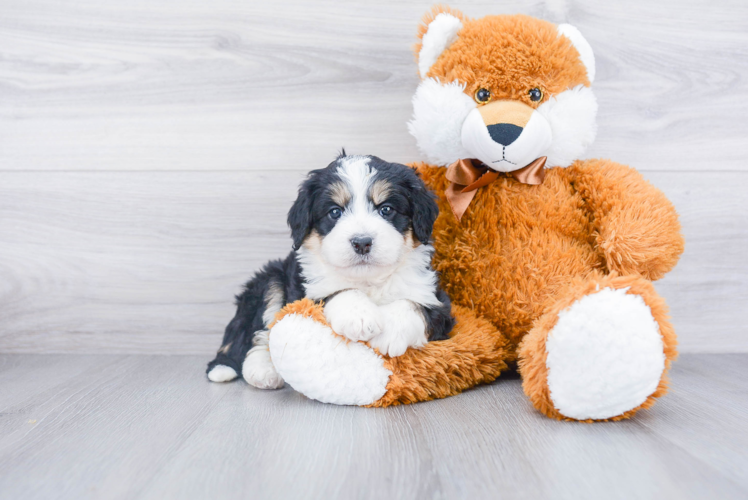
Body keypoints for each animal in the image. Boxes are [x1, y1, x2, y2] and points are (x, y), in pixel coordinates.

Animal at [205, 154, 452, 388]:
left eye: (386, 209)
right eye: (335, 212)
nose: (362, 242)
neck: (368, 281)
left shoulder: (437, 299)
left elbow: (414, 304)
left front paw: (390, 331)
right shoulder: (304, 292)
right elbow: (337, 292)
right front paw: (359, 316)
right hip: (271, 278)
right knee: (259, 329)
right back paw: (258, 370)